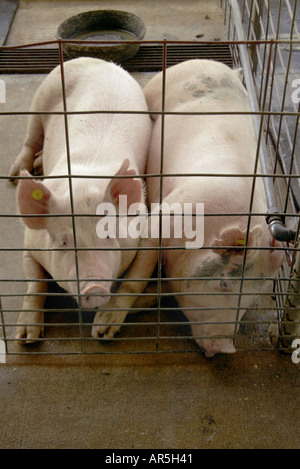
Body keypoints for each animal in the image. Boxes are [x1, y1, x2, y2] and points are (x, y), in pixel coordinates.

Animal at [9, 57, 152, 340]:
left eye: (108, 235)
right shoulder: (30, 244)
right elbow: (35, 283)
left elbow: (133, 281)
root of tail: (97, 59)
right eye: (65, 242)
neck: (83, 187)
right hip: (41, 98)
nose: (94, 287)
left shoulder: (141, 233)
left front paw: (102, 331)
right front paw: (26, 338)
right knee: (31, 139)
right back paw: (16, 175)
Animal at [92, 60, 284, 356]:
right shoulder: (161, 219)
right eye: (224, 284)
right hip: (158, 85)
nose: (226, 347)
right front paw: (102, 330)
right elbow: (137, 276)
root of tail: (216, 65)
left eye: (251, 298)